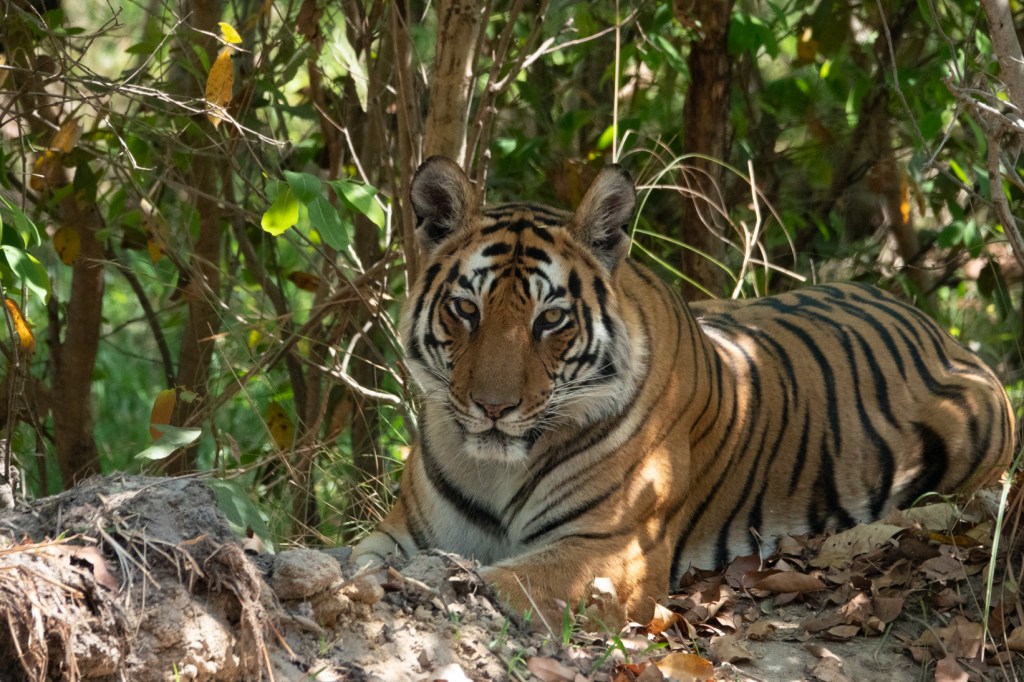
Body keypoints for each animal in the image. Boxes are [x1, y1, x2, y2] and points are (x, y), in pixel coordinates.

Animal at [353, 155, 1015, 625]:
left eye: (551, 319)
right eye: (467, 309)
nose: (493, 408)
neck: (494, 467)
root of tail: (934, 325)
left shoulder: (611, 548)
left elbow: (500, 584)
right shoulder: (407, 531)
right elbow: (360, 558)